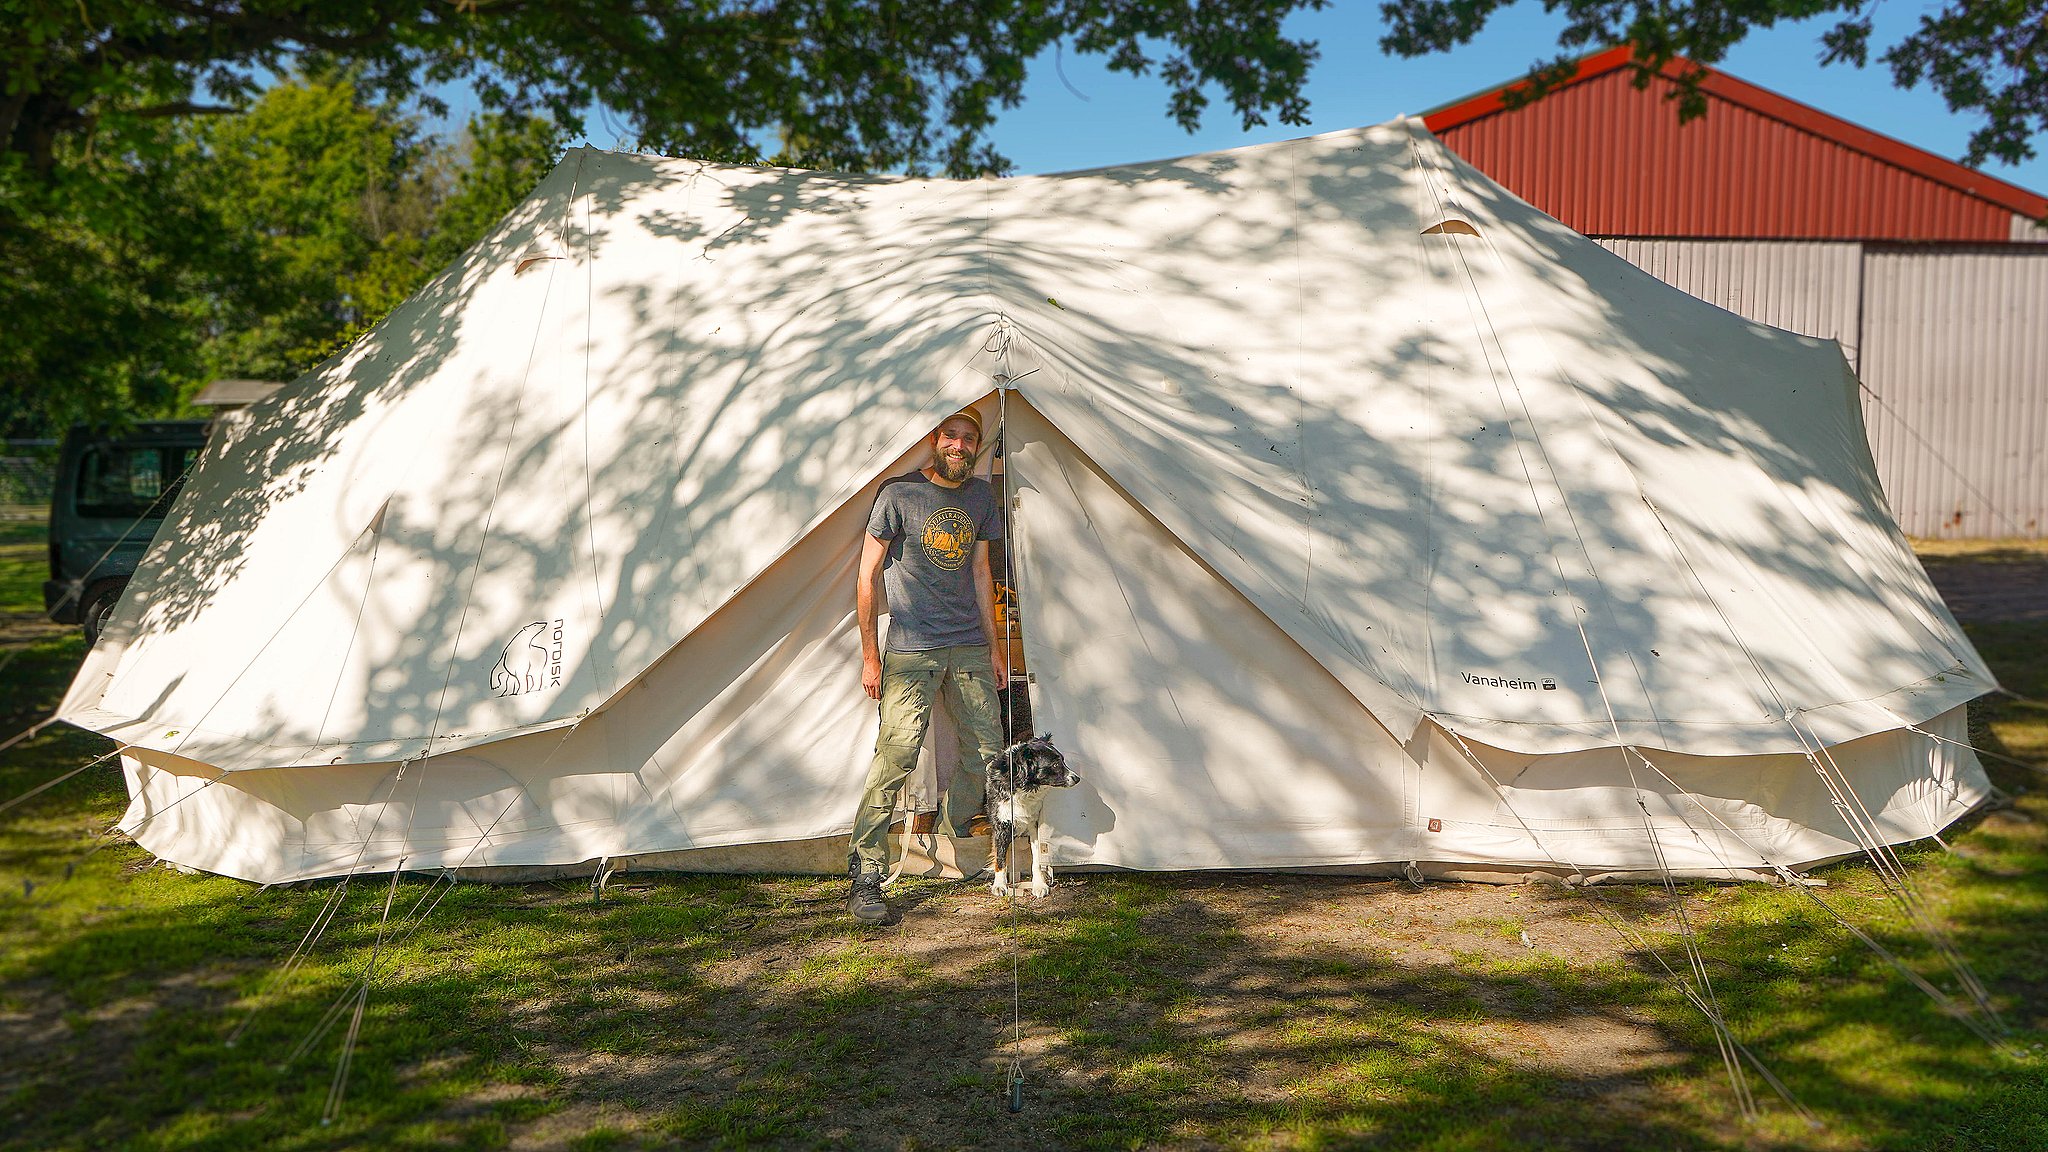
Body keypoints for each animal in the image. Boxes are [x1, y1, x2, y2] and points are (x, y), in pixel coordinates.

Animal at [983, 733, 1081, 897]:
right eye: (1055, 765)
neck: (1022, 788)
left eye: (1063, 760)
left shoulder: (1034, 825)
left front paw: (1039, 884)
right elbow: (1000, 858)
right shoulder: (1001, 825)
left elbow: (1037, 859)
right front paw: (999, 885)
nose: (1077, 778)